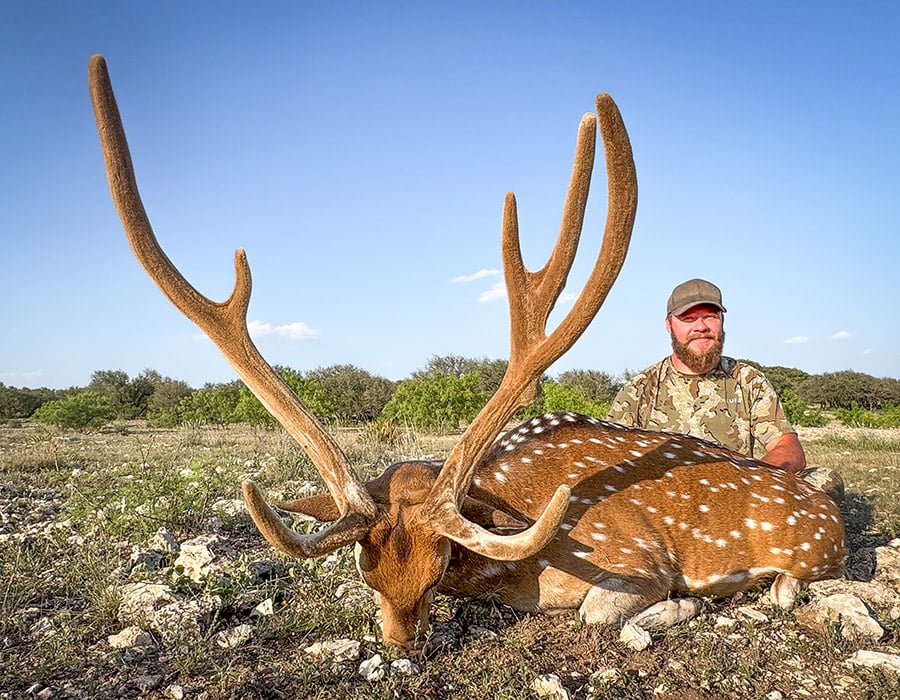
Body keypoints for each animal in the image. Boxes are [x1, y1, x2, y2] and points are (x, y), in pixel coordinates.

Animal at [88, 54, 846, 651]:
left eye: (438, 568)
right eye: (365, 572)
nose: (401, 643)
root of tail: (828, 501)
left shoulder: (639, 555)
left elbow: (600, 612)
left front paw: (689, 603)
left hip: (814, 548)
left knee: (793, 584)